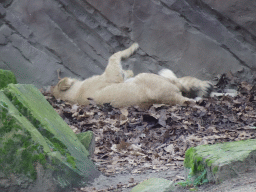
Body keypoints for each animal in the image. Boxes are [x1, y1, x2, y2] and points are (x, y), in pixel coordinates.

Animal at [51, 42, 212, 107]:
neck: (74, 95)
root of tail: (172, 98)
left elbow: (118, 60)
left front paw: (128, 70)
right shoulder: (112, 74)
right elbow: (115, 55)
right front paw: (134, 47)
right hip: (149, 77)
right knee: (181, 83)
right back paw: (205, 87)